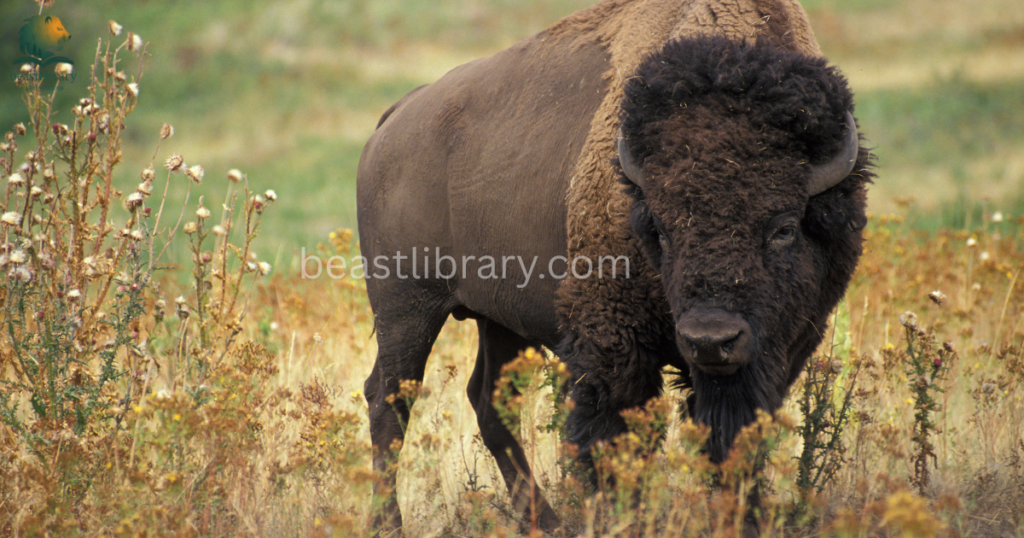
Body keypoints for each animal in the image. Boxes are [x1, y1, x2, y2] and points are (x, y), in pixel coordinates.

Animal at [356, 0, 871, 532]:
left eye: (784, 228)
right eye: (660, 229)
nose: (710, 339)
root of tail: (396, 120)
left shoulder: (776, 352)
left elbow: (734, 440)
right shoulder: (613, 345)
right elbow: (615, 438)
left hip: (498, 321)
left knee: (488, 400)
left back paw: (546, 521)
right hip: (406, 307)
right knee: (390, 399)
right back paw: (387, 523)